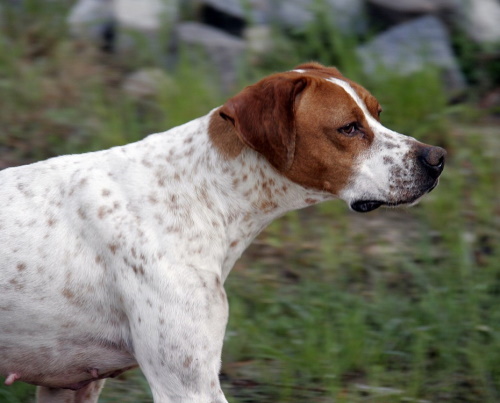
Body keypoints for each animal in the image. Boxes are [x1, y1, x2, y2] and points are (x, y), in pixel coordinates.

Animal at [0, 61, 446, 402]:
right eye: (349, 128)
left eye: (378, 113)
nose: (437, 158)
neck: (195, 191)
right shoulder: (186, 386)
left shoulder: (73, 384)